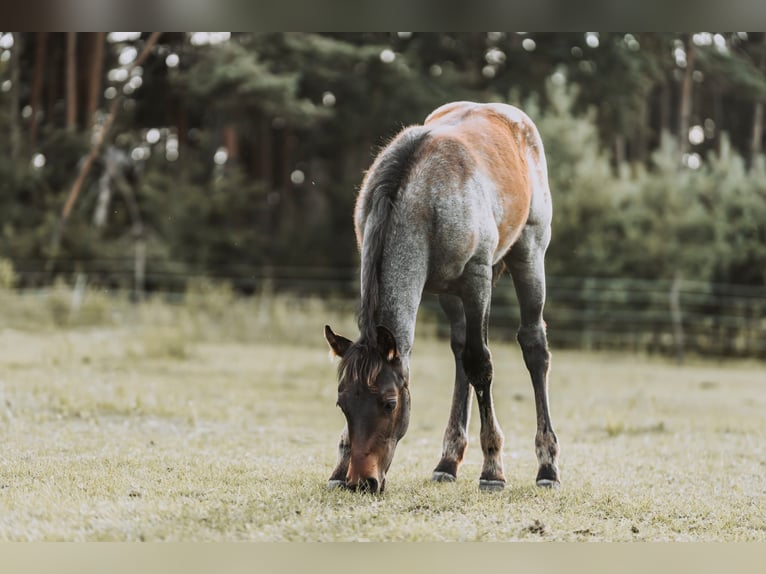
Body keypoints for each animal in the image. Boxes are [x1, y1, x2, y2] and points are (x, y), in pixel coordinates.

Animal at [328, 100, 560, 496]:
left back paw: (547, 467)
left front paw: (493, 470)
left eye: (389, 403)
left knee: (532, 346)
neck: (420, 198)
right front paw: (339, 467)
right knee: (459, 351)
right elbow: (467, 360)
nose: (363, 481)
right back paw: (448, 461)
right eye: (342, 403)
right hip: (448, 292)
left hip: (529, 253)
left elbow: (481, 364)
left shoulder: (477, 278)